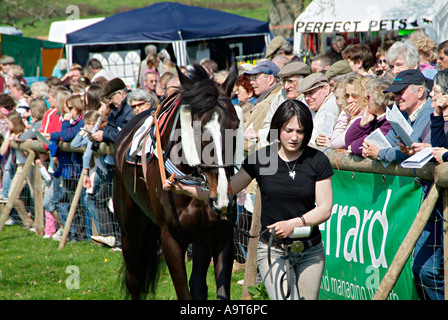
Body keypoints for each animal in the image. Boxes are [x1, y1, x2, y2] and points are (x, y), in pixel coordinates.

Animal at [114, 63, 243, 300]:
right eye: (197, 129)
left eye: (236, 125)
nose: (222, 199)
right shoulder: (171, 240)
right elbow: (184, 292)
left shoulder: (221, 234)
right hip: (130, 230)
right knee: (133, 279)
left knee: (198, 284)